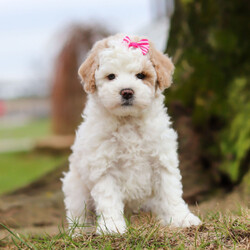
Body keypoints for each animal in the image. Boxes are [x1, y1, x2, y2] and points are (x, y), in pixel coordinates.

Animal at [62, 33, 201, 234]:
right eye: (111, 76)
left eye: (141, 75)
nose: (126, 91)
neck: (128, 121)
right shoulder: (103, 167)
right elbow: (108, 198)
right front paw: (112, 227)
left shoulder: (162, 161)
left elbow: (171, 192)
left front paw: (182, 218)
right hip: (76, 187)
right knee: (78, 212)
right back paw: (80, 231)